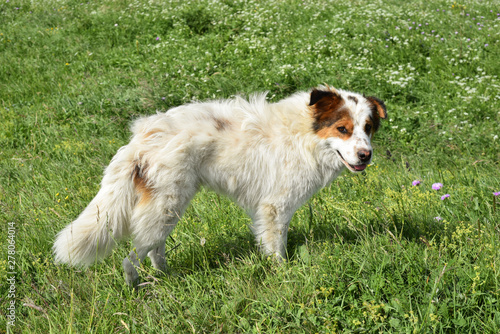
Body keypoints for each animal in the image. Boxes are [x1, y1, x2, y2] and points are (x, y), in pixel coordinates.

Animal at [52, 85, 386, 286]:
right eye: (342, 129)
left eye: (368, 128)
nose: (366, 155)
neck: (305, 135)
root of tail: (142, 138)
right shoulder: (275, 208)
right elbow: (276, 248)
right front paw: (283, 275)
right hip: (167, 204)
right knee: (132, 257)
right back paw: (137, 285)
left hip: (167, 208)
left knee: (155, 248)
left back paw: (168, 276)